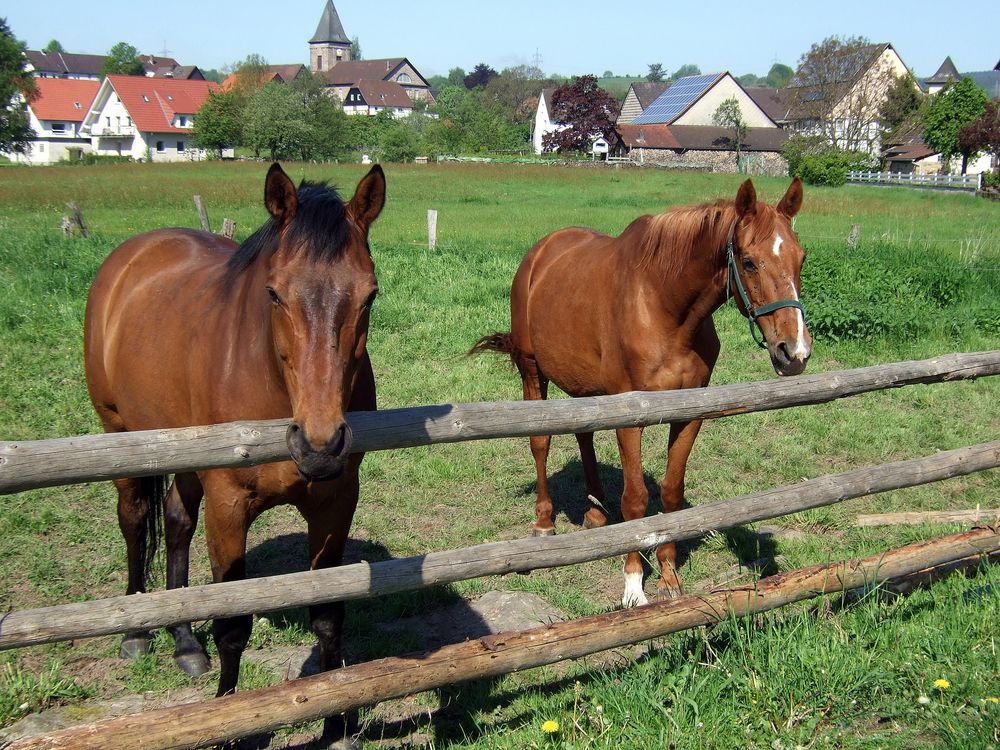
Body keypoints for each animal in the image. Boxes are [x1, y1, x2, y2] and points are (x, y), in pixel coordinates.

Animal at [83, 164, 382, 748]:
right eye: (274, 294)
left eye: (370, 296)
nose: (318, 445)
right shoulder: (228, 508)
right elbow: (232, 622)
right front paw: (227, 720)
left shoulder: (335, 504)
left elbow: (327, 613)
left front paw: (338, 720)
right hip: (121, 436)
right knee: (135, 521)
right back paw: (136, 633)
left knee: (177, 522)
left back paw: (183, 643)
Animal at [472, 178, 808, 612]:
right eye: (749, 262)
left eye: (801, 258)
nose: (794, 352)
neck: (664, 306)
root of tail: (540, 252)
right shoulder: (631, 418)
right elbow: (635, 499)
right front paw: (634, 585)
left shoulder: (689, 414)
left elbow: (670, 493)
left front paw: (668, 576)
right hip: (533, 372)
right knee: (540, 443)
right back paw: (544, 523)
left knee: (583, 434)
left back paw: (596, 514)